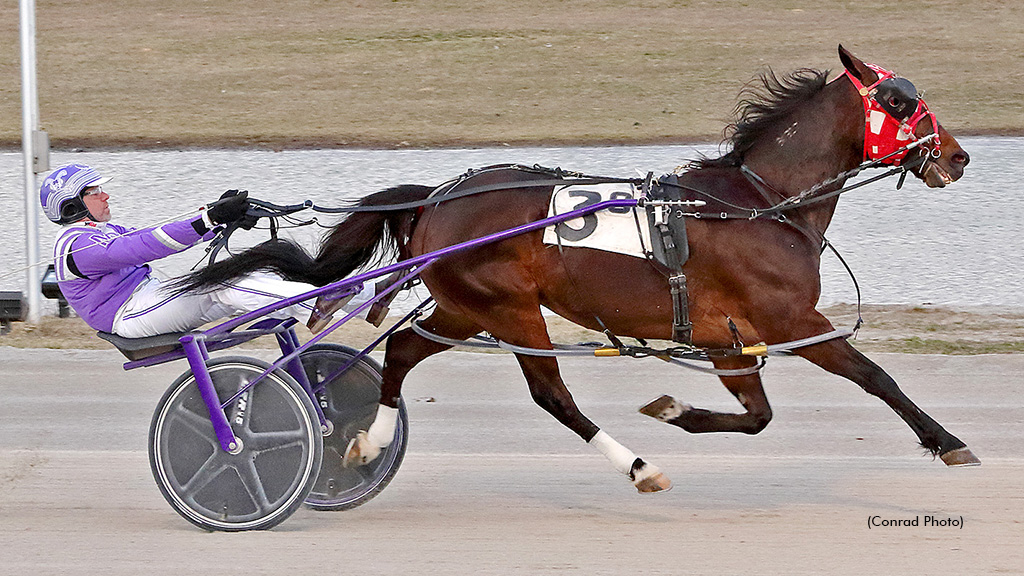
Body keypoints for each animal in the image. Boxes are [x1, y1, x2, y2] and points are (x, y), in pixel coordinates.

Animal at [182, 47, 974, 491]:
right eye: (900, 100)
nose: (959, 156)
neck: (755, 205)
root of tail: (434, 199)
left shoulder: (728, 338)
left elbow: (757, 416)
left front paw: (676, 409)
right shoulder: (789, 319)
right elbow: (875, 377)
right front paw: (948, 442)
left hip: (465, 306)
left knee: (403, 348)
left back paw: (367, 441)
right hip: (510, 310)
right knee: (551, 397)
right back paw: (638, 467)